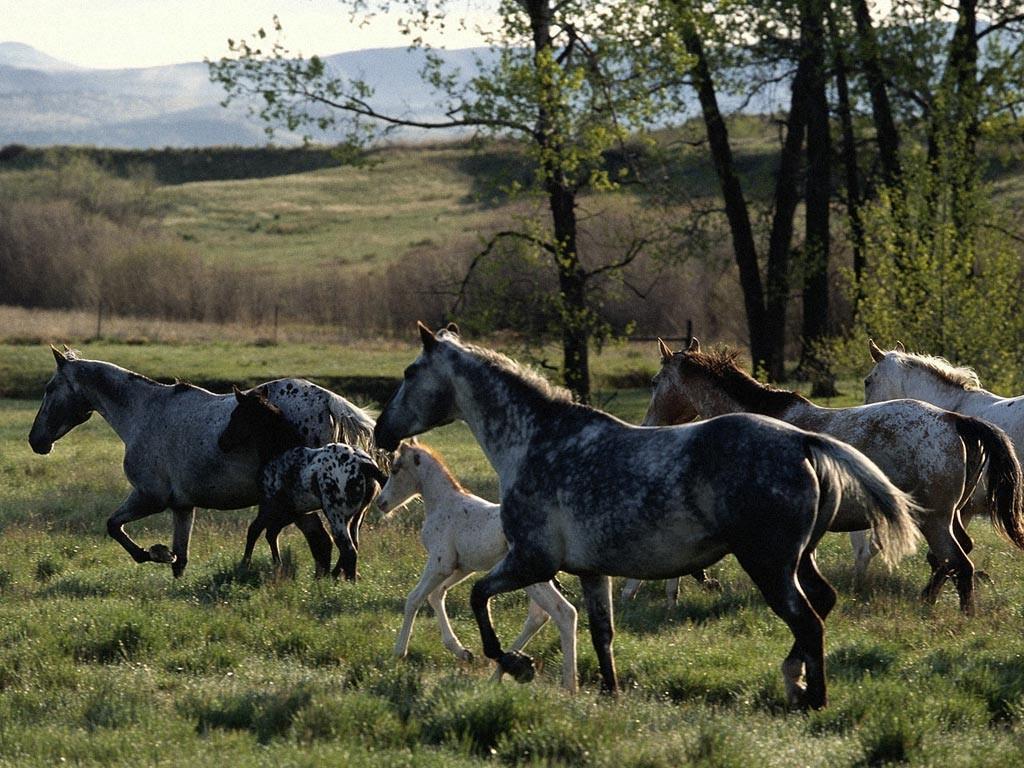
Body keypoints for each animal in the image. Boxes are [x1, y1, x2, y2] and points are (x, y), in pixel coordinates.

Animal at [219, 387, 387, 581]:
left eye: (235, 414)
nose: (222, 442)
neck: (280, 451)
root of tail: (364, 464)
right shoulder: (293, 510)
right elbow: (271, 533)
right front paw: (278, 567)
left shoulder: (270, 505)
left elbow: (255, 530)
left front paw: (244, 566)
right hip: (356, 515)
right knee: (352, 546)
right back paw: (336, 577)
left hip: (335, 513)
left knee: (348, 549)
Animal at [376, 442, 581, 696]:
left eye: (395, 469)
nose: (380, 503)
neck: (444, 503)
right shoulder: (462, 567)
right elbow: (436, 595)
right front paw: (462, 652)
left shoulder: (439, 563)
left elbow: (414, 598)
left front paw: (399, 652)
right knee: (539, 616)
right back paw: (502, 671)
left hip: (532, 580)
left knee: (563, 612)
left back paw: (569, 686)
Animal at [626, 339, 1024, 618]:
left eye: (655, 381)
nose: (648, 426)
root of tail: (954, 420)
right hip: (951, 516)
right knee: (953, 560)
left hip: (935, 519)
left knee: (959, 563)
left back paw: (960, 615)